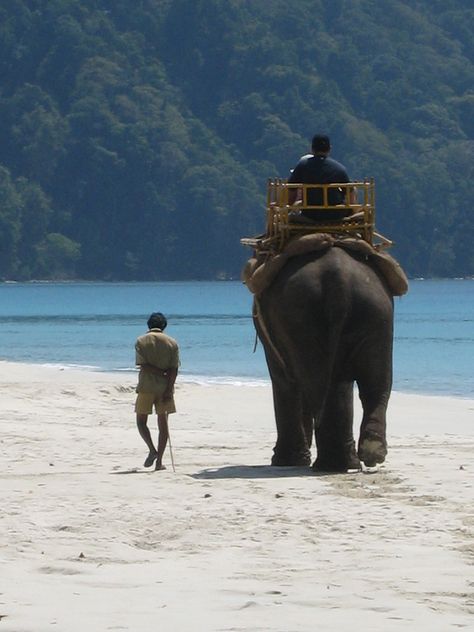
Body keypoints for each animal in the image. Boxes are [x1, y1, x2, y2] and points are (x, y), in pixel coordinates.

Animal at [254, 244, 394, 472]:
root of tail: (339, 279)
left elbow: (284, 378)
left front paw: (286, 462)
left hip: (302, 317)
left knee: (316, 383)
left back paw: (329, 464)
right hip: (376, 312)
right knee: (374, 384)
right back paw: (364, 456)